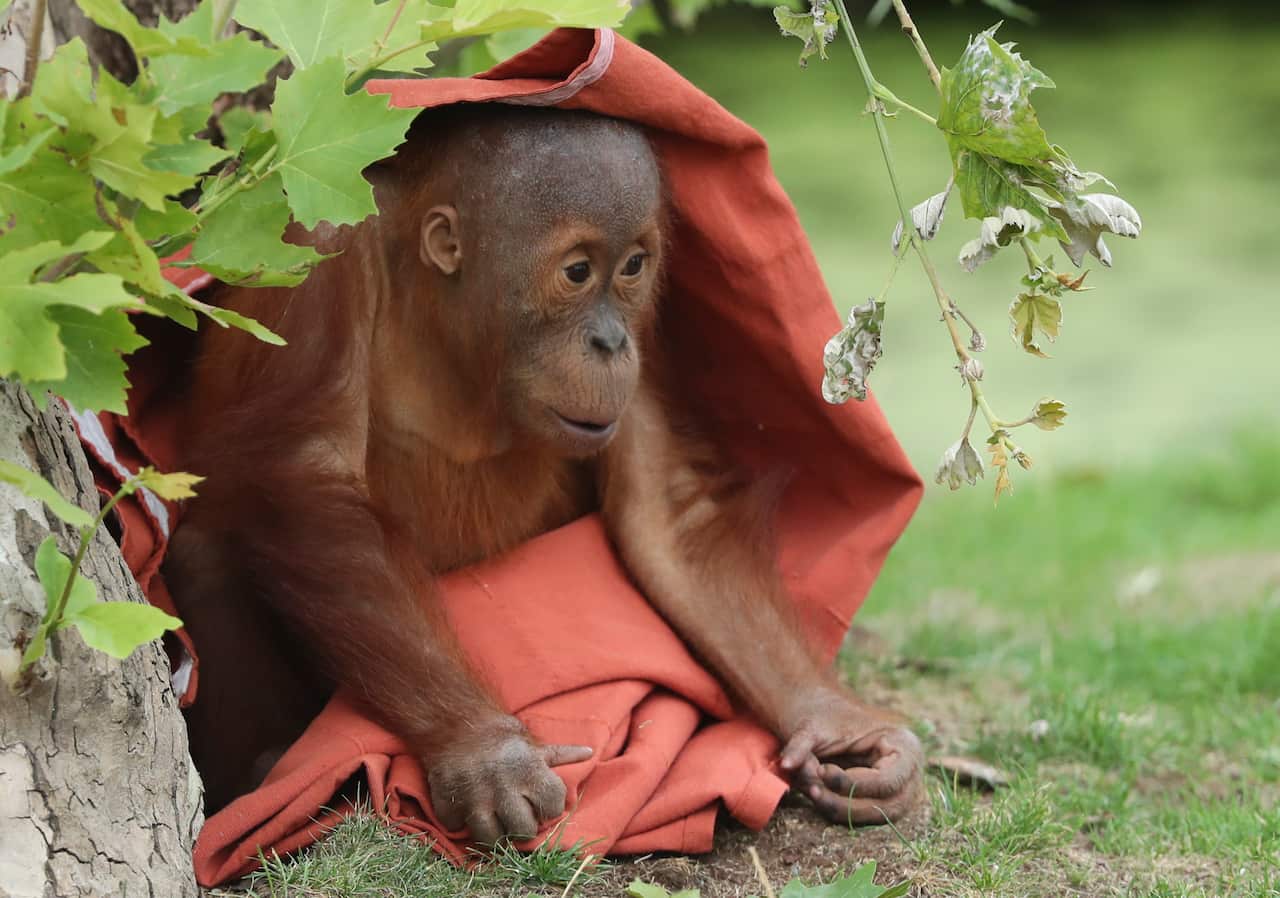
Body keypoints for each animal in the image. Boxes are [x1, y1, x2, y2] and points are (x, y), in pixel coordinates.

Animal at [163, 105, 923, 844]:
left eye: (634, 266)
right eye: (578, 272)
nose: (611, 341)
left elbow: (663, 520)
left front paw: (840, 729)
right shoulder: (322, 254)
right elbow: (309, 473)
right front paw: (486, 753)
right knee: (203, 551)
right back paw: (264, 774)